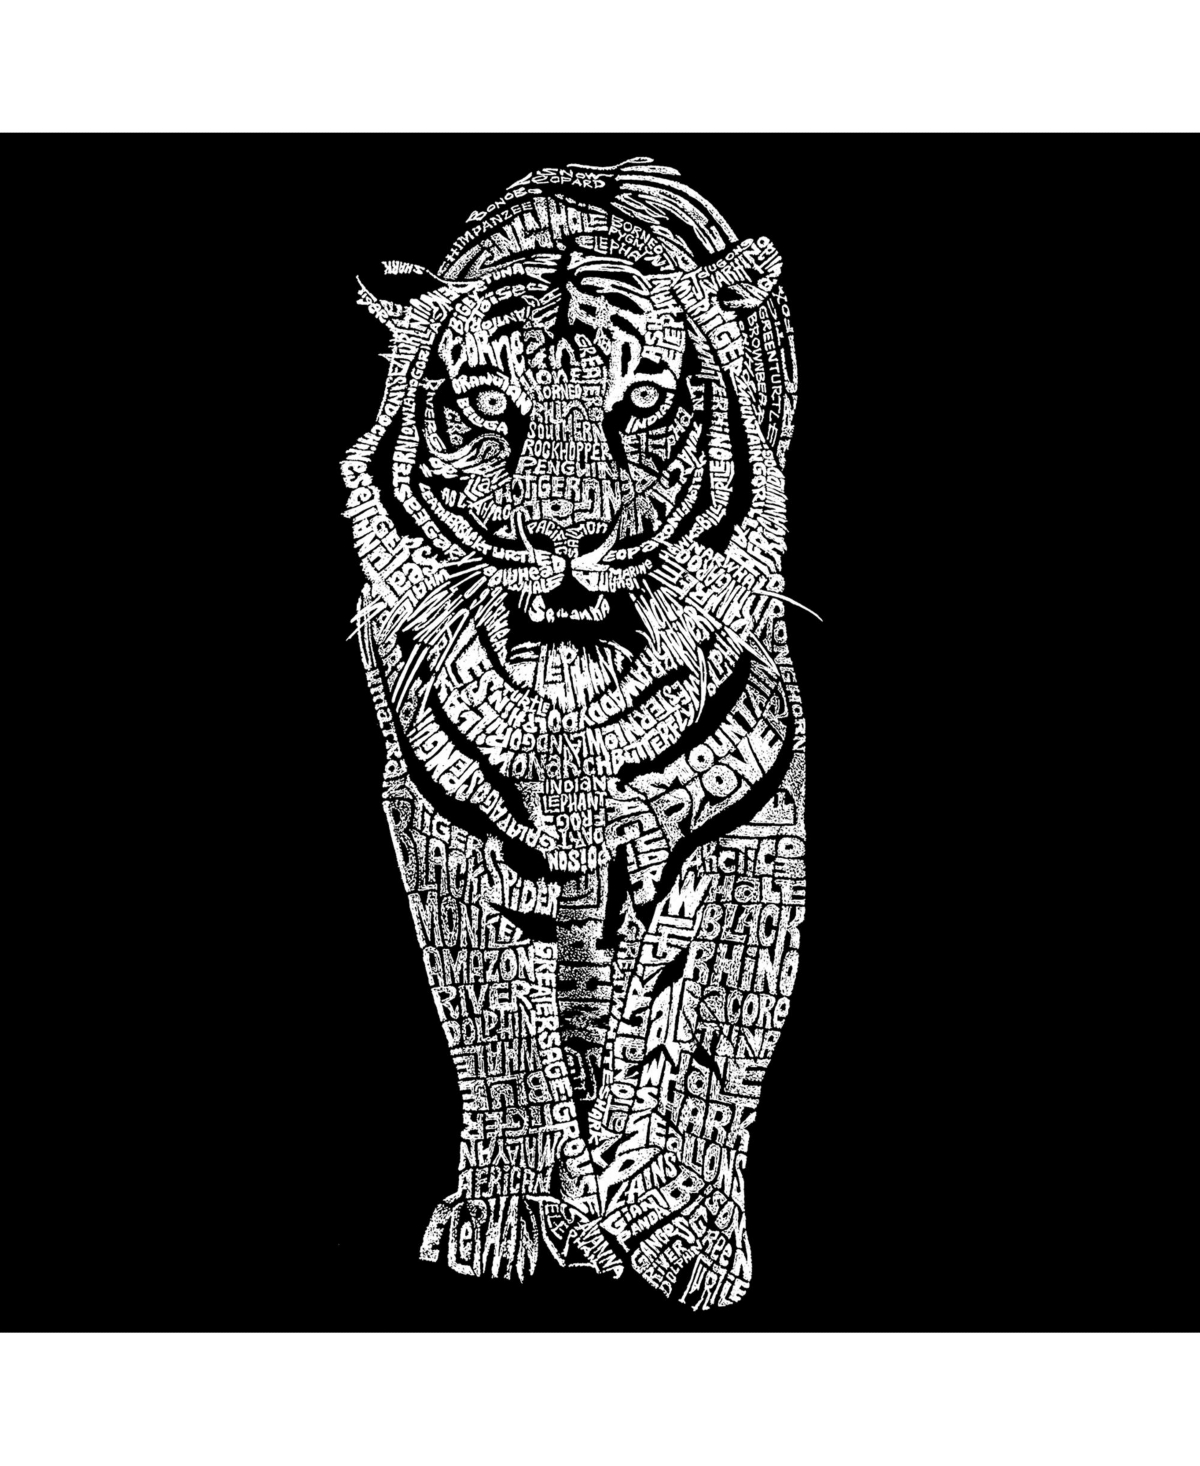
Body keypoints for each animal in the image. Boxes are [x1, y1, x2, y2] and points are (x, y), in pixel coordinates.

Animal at [341, 158, 807, 1311]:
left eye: (639, 399)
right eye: (489, 404)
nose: (565, 535)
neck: (572, 705)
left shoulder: (750, 808)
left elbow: (712, 1016)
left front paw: (685, 1231)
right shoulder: (442, 814)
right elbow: (499, 1016)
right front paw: (513, 1211)